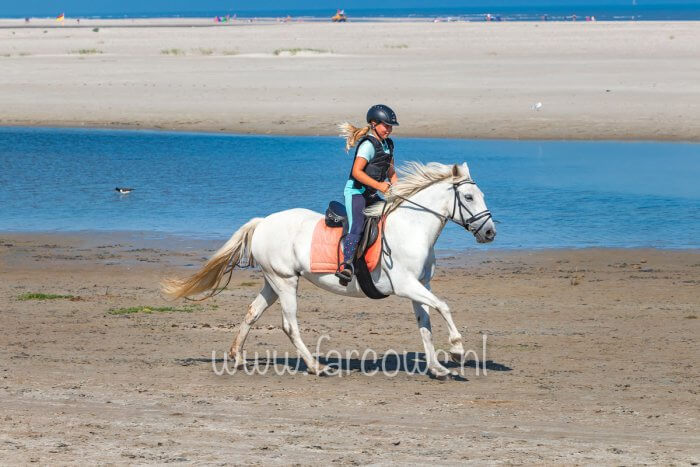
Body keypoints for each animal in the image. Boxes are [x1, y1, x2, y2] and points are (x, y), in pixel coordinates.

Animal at [162, 163, 494, 378]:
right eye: (468, 197)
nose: (490, 233)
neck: (412, 228)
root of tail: (263, 221)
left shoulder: (420, 287)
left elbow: (425, 323)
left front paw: (437, 367)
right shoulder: (405, 285)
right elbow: (444, 307)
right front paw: (457, 349)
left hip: (273, 281)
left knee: (252, 312)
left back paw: (237, 357)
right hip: (285, 282)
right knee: (289, 325)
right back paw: (316, 366)